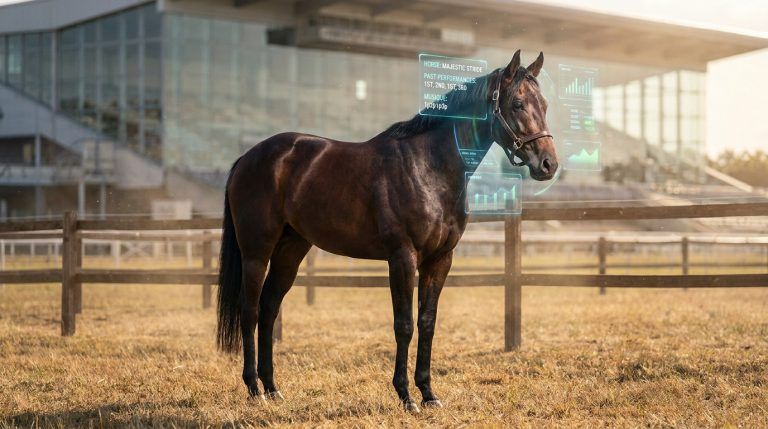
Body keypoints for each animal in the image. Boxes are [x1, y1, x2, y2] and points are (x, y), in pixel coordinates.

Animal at [216, 50, 558, 412]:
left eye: (545, 104)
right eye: (517, 104)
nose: (548, 164)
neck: (428, 167)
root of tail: (247, 157)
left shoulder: (440, 260)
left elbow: (427, 322)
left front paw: (428, 393)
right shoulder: (402, 257)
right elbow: (404, 325)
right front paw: (406, 395)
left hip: (291, 251)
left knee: (269, 308)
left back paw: (272, 387)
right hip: (256, 251)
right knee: (250, 310)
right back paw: (254, 388)